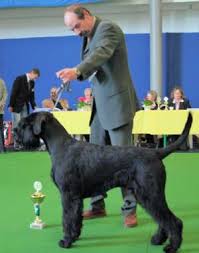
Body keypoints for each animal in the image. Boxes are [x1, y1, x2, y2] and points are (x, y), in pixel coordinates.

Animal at [14, 111, 193, 252]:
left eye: (26, 123)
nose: (15, 132)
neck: (61, 146)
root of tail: (156, 153)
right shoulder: (76, 198)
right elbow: (76, 218)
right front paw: (75, 236)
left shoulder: (67, 195)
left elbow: (67, 218)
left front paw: (66, 241)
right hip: (148, 195)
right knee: (162, 218)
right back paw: (158, 239)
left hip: (150, 193)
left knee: (172, 220)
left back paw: (172, 246)